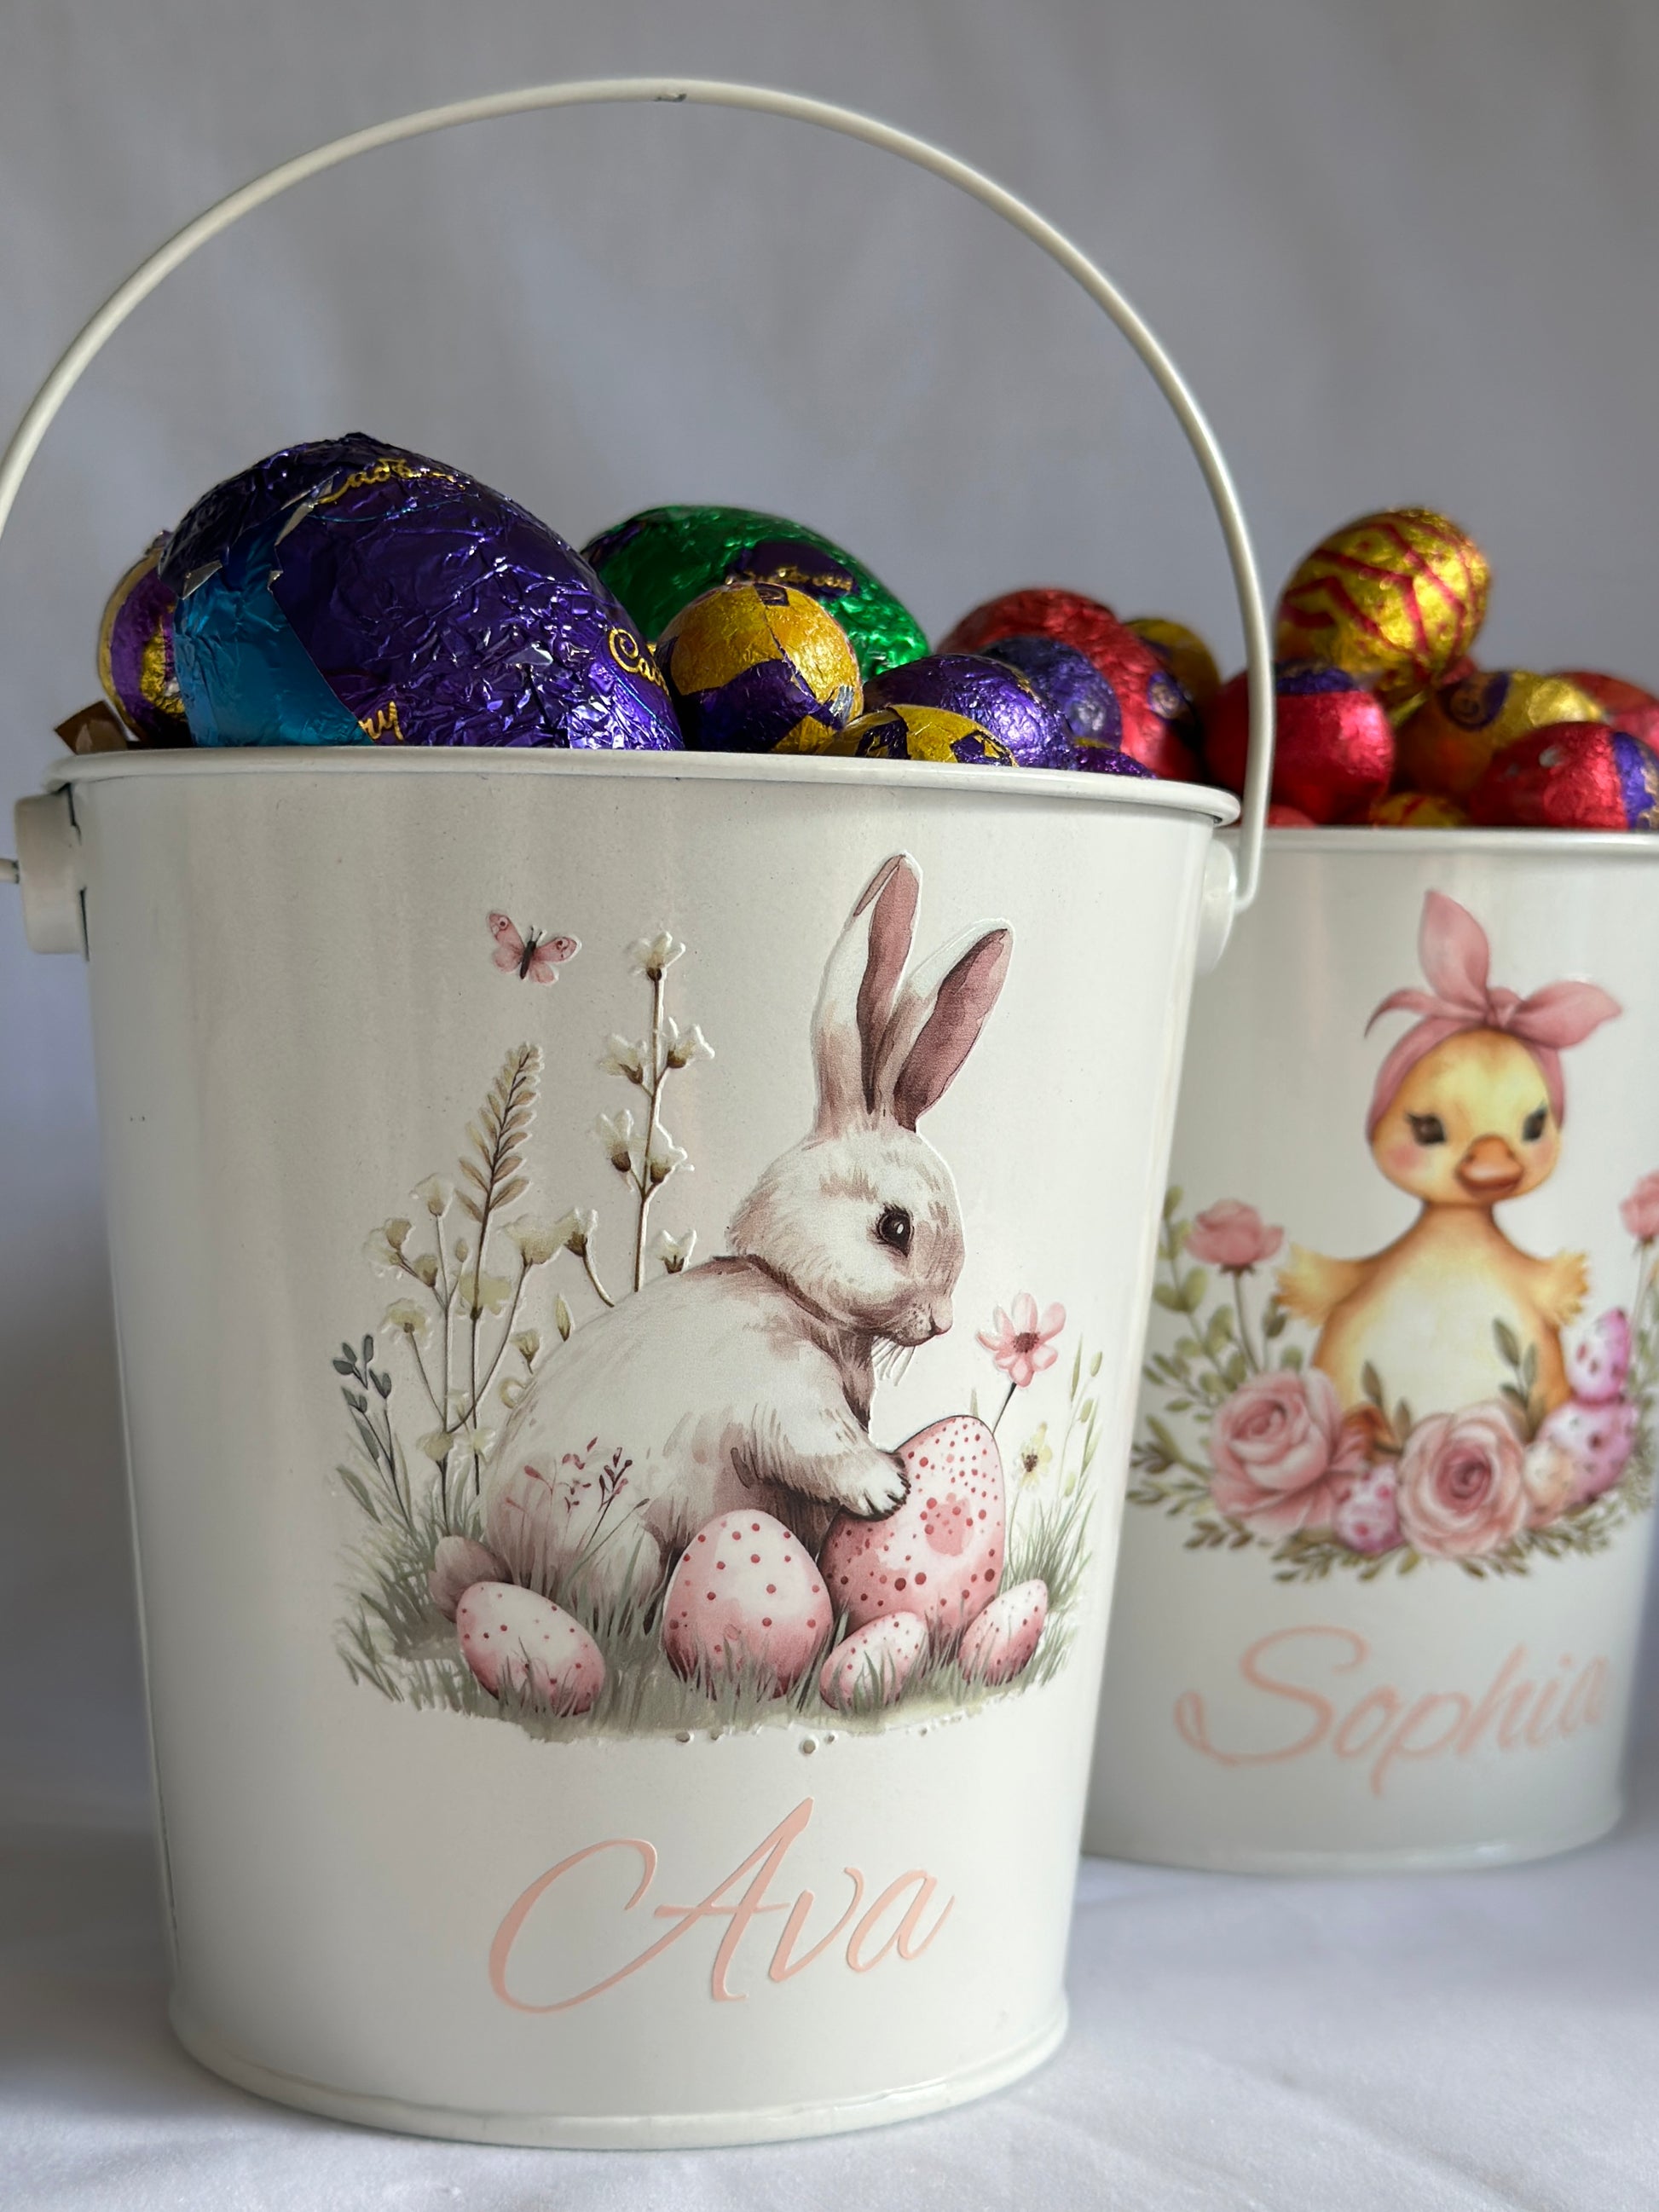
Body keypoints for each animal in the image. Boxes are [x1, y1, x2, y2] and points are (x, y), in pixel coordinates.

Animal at [481, 852, 1012, 1601]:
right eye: (894, 1227)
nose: (942, 1322)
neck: (792, 1291)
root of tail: (504, 1546)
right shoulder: (786, 1392)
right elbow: (822, 1444)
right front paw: (888, 1487)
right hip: (623, 1548)